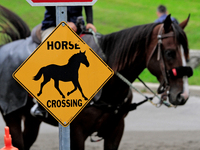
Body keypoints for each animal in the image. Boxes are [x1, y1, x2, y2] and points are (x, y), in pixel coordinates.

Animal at [0, 5, 192, 149]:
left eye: (187, 52)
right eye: (169, 52)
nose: (182, 95)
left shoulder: (116, 131)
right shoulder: (77, 133)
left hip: (32, 120)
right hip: (12, 116)